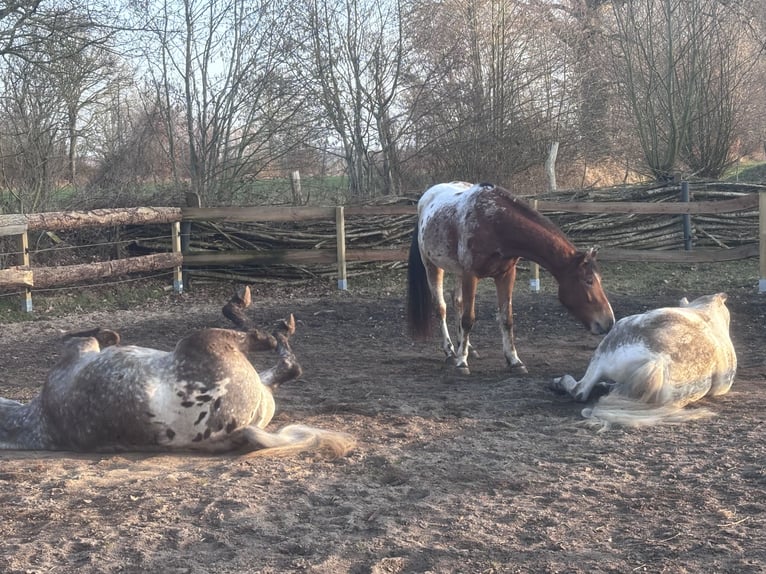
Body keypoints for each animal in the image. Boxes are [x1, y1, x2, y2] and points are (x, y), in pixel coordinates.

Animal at [0, 287, 355, 458]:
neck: (35, 419)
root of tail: (240, 429)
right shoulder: (81, 347)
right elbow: (87, 335)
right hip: (209, 340)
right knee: (271, 347)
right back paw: (262, 315)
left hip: (259, 387)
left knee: (284, 365)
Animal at [407, 181, 615, 374]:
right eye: (588, 281)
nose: (609, 322)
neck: (493, 221)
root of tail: (425, 198)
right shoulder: (471, 274)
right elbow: (468, 319)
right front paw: (462, 363)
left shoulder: (506, 275)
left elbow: (507, 319)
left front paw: (514, 361)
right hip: (432, 265)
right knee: (441, 308)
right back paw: (451, 352)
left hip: (458, 271)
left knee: (457, 301)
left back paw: (466, 348)